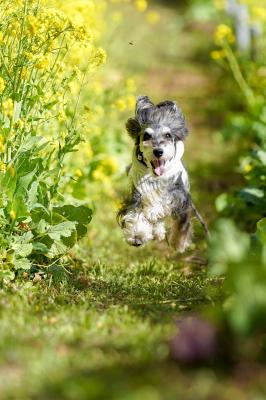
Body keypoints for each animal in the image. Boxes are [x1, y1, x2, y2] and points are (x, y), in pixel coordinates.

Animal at [118, 96, 208, 253]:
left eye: (167, 135)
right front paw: (137, 236)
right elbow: (135, 213)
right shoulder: (136, 193)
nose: (158, 151)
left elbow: (167, 200)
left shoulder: (179, 193)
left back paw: (176, 240)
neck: (154, 178)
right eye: (146, 136)